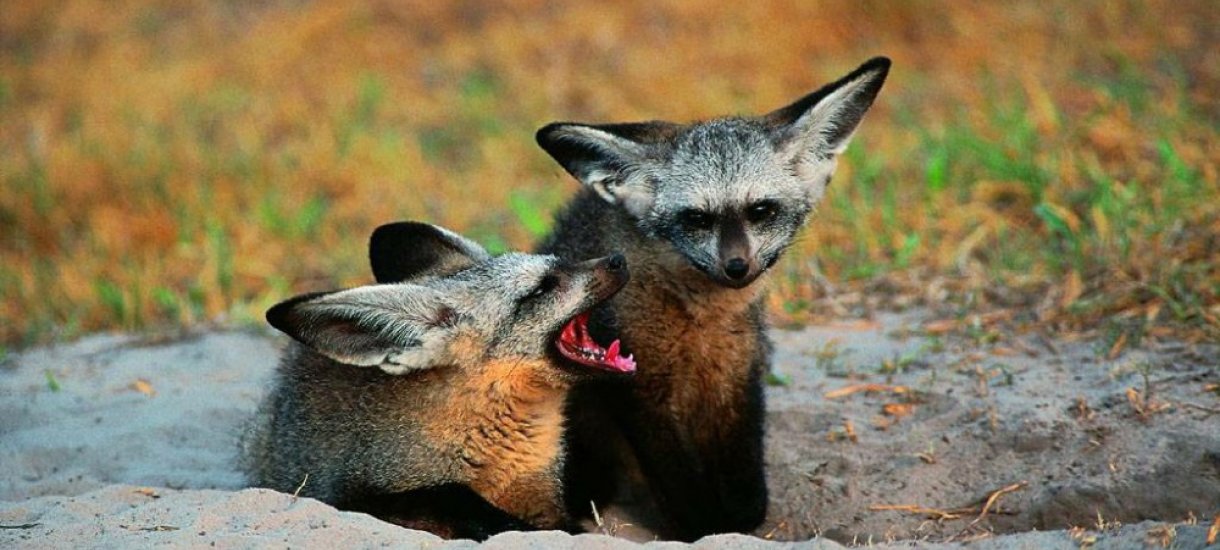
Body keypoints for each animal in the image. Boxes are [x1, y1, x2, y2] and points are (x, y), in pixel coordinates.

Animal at [240, 220, 639, 539]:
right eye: (541, 289)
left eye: (560, 262)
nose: (618, 259)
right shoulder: (351, 494)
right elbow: (450, 496)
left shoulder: (543, 499)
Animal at [539, 56, 893, 539]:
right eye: (696, 219)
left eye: (760, 211)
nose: (736, 266)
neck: (699, 325)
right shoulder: (640, 389)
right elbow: (684, 490)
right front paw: (704, 524)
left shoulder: (738, 373)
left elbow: (748, 491)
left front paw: (737, 518)